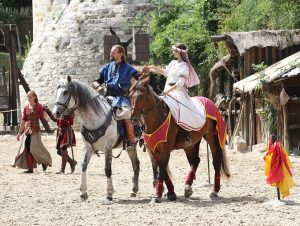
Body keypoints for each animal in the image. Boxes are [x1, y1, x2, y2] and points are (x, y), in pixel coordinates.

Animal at [129, 74, 230, 203]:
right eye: (130, 95)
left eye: (143, 96)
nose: (133, 118)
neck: (157, 119)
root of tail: (210, 102)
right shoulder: (154, 150)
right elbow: (163, 171)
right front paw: (171, 193)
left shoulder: (165, 150)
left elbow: (162, 170)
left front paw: (158, 196)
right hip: (191, 144)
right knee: (195, 161)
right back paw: (188, 187)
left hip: (212, 137)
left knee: (216, 160)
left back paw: (214, 191)